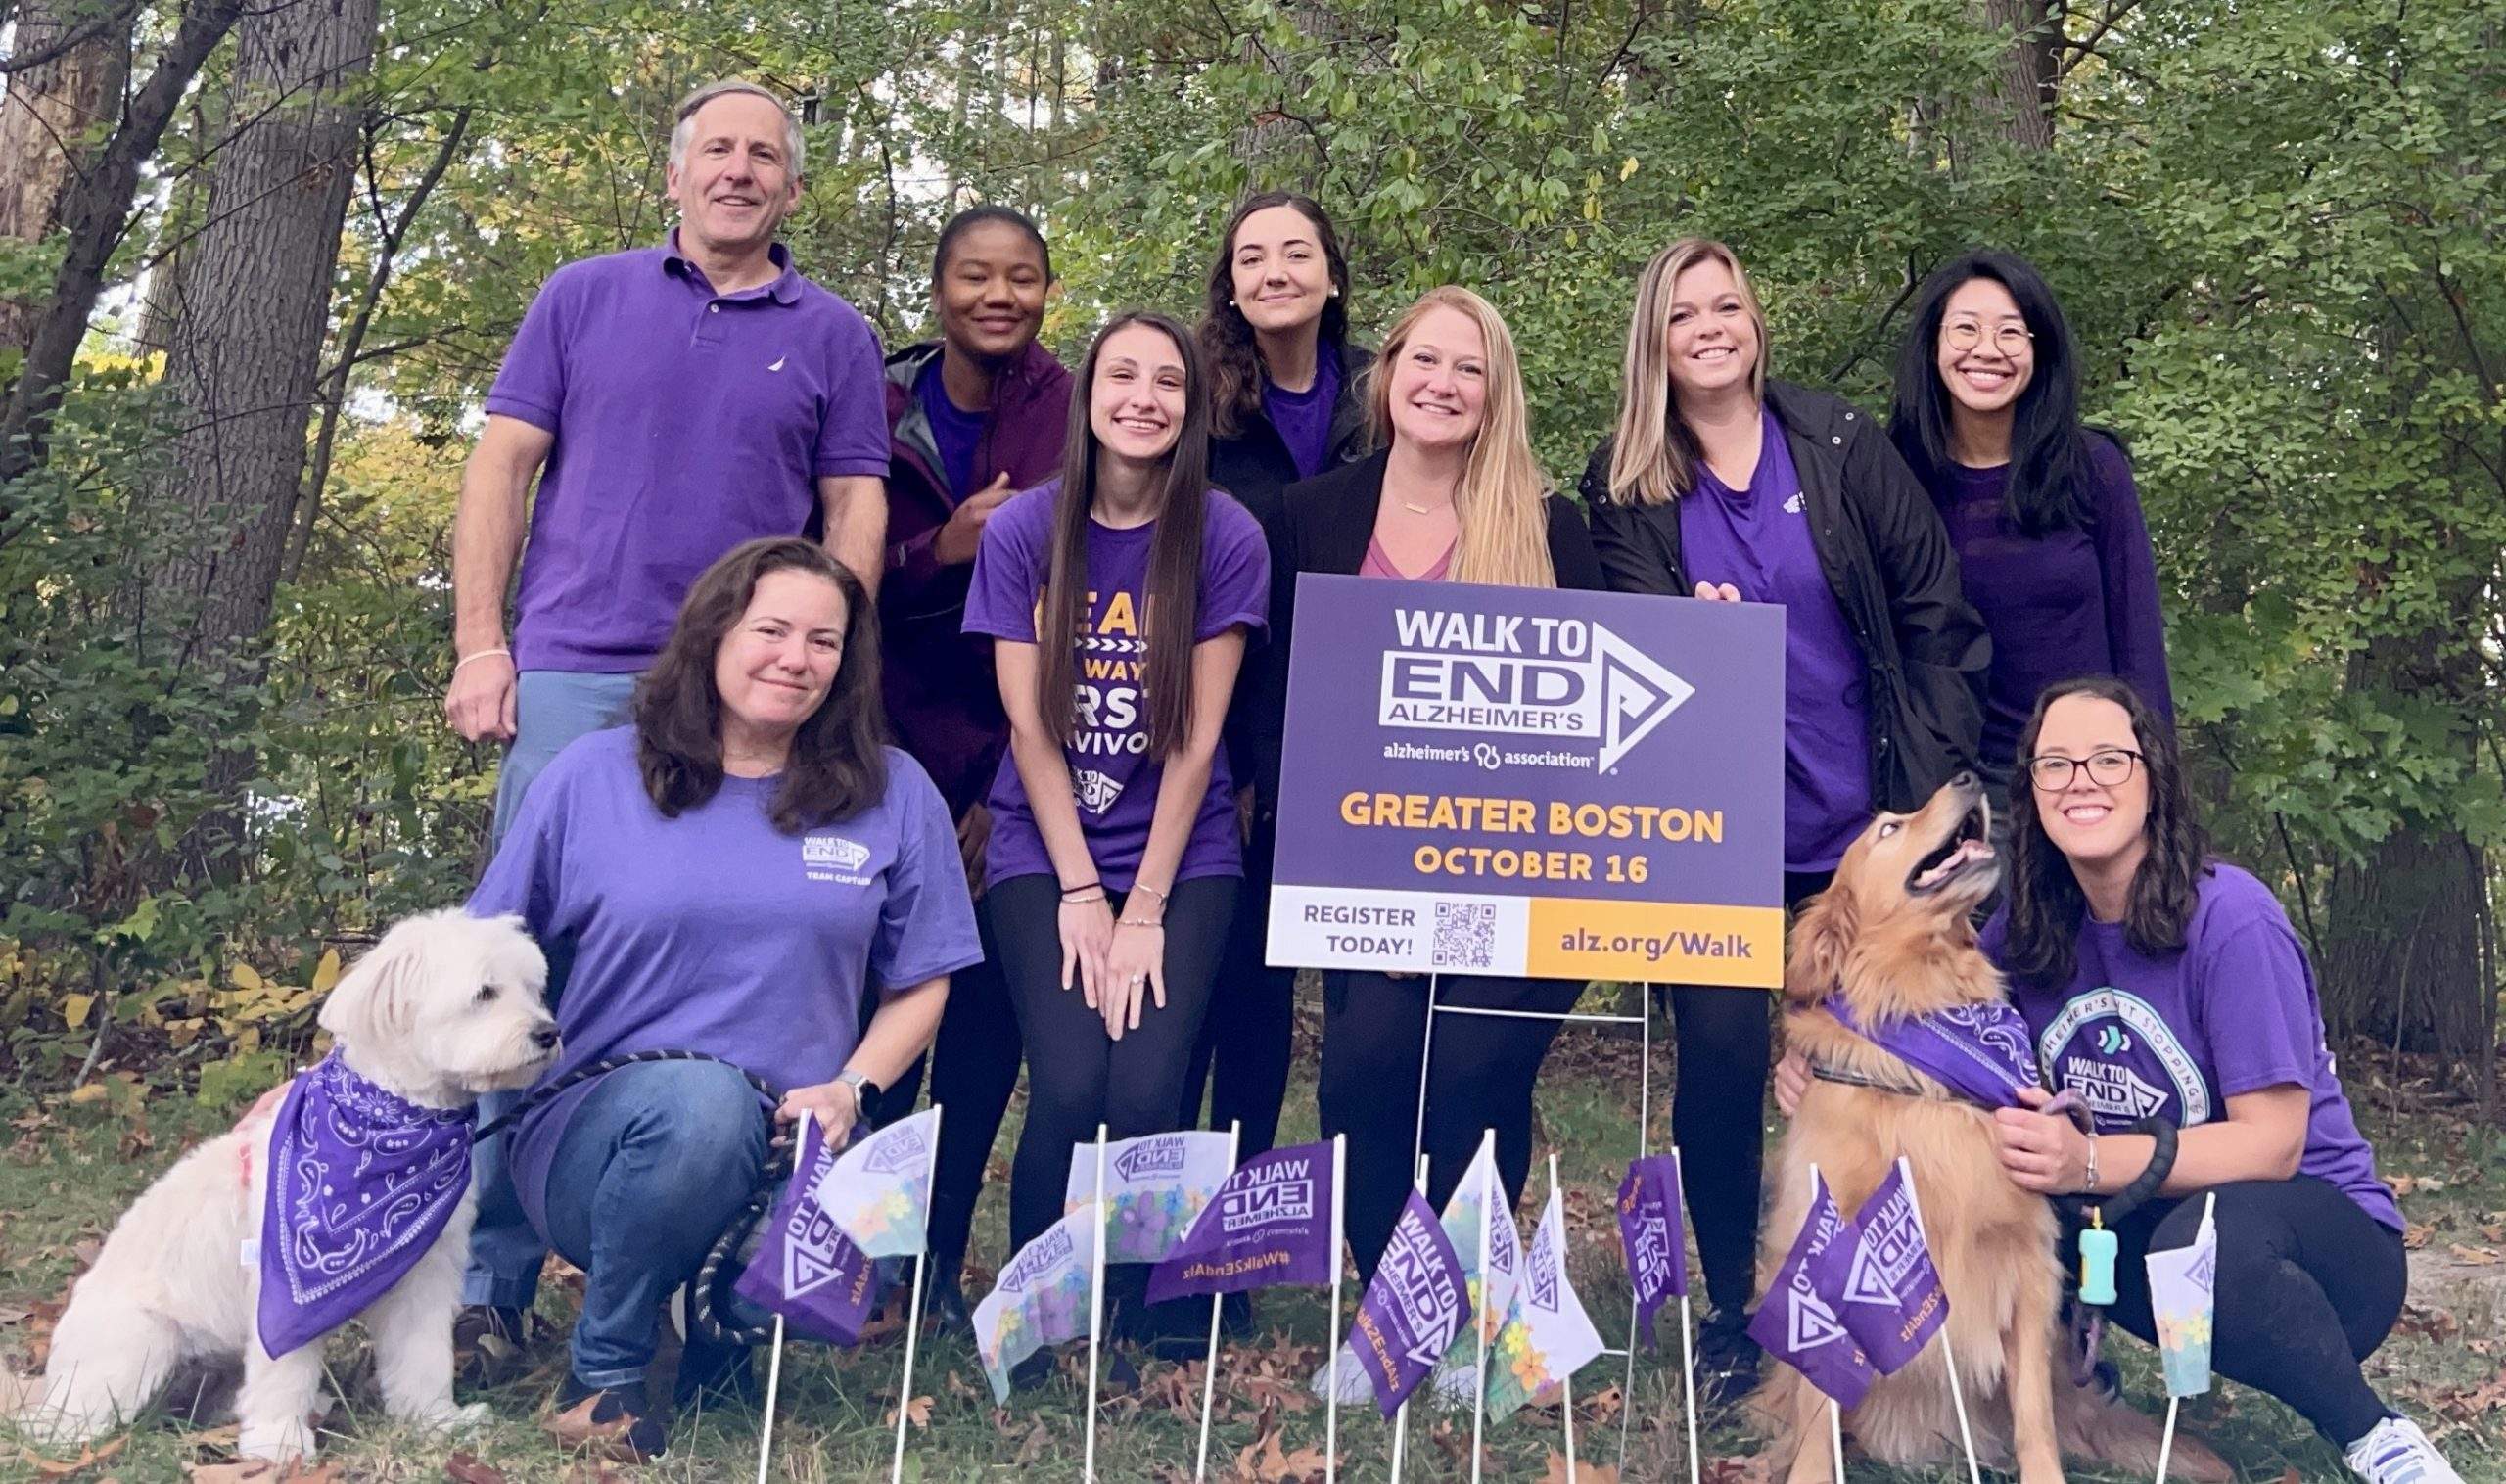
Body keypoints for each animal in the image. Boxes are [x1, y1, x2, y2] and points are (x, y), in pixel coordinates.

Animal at [17, 912, 556, 1454]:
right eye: (485, 992)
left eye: (533, 988)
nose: (549, 1032)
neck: (391, 1125)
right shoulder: (281, 1293)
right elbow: (285, 1370)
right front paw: (280, 1445)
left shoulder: (425, 1275)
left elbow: (423, 1355)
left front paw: (436, 1420)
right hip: (140, 1344)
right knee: (64, 1423)